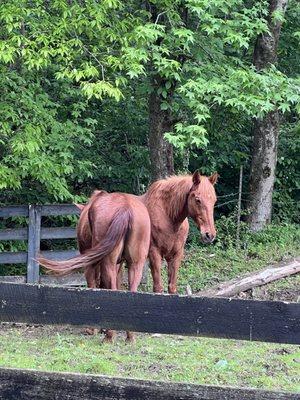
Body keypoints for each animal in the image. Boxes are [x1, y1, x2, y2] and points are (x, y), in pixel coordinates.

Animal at [38, 190, 151, 340]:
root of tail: (125, 207)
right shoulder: (119, 265)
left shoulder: (91, 264)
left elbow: (93, 284)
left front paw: (93, 329)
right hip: (135, 263)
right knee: (131, 289)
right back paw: (129, 336)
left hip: (106, 261)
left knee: (110, 287)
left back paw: (109, 336)